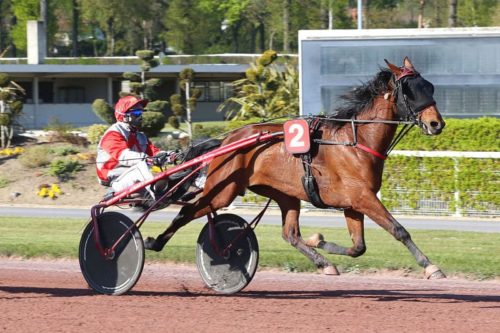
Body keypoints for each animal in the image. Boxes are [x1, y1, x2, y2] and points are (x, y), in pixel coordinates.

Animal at [144, 56, 446, 278]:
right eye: (410, 91)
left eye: (430, 86)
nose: (436, 123)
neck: (355, 143)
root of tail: (228, 140)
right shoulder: (363, 197)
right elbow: (399, 230)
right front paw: (430, 266)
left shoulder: (353, 203)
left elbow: (358, 247)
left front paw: (318, 242)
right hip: (222, 190)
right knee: (187, 211)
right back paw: (154, 241)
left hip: (285, 194)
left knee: (289, 234)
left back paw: (324, 263)